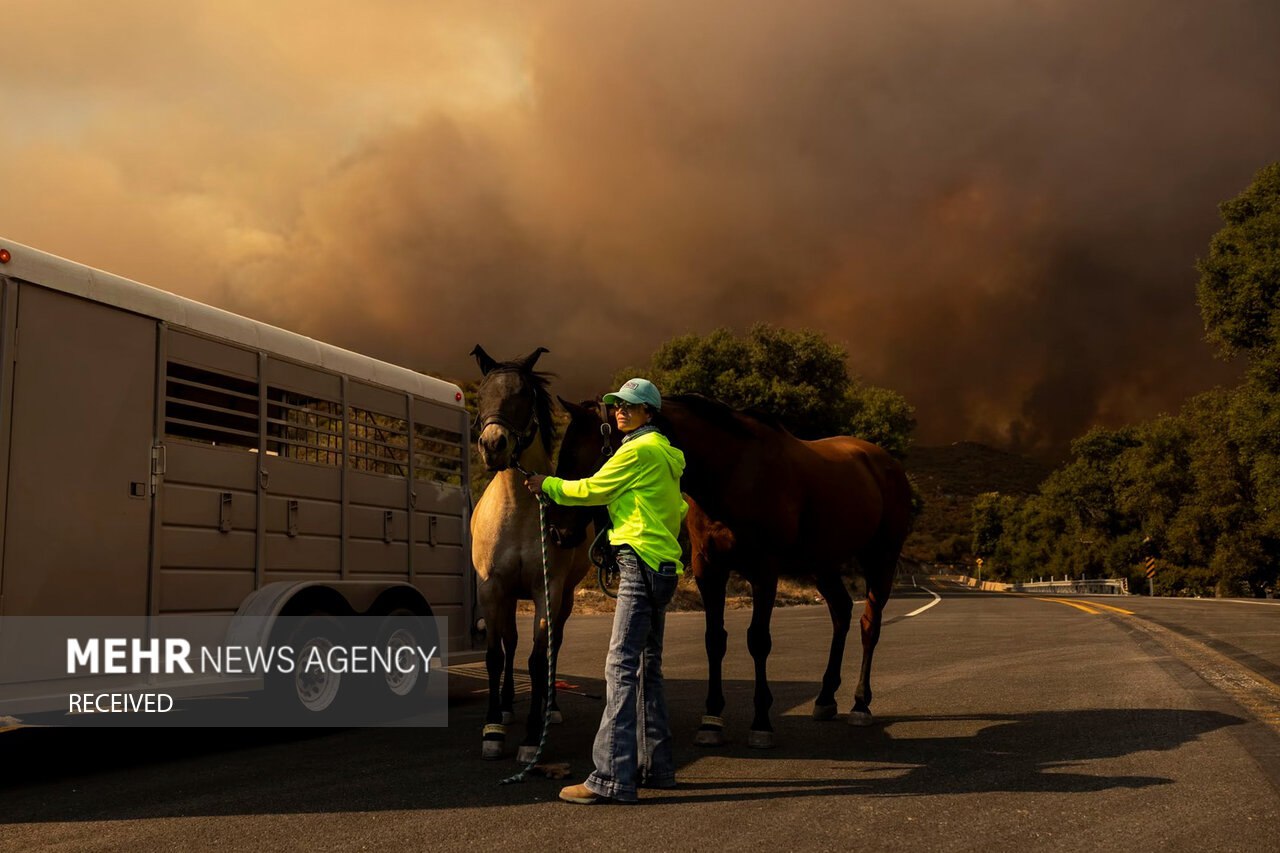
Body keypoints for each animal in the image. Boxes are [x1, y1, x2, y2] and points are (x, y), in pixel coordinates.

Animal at [468, 343, 591, 758]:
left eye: (522, 394)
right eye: (482, 394)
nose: (493, 445)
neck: (519, 509)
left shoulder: (546, 591)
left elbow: (538, 660)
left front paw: (532, 734)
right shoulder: (492, 589)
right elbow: (495, 654)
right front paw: (492, 729)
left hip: (564, 598)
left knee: (553, 647)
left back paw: (550, 709)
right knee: (509, 643)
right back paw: (506, 707)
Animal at [555, 391, 916, 742]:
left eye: (587, 457)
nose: (560, 531)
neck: (732, 471)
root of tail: (886, 463)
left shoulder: (764, 571)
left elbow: (758, 640)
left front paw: (761, 722)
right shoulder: (709, 569)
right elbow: (715, 639)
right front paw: (712, 719)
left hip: (880, 560)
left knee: (869, 625)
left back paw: (860, 704)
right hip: (823, 565)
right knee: (841, 613)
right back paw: (826, 698)